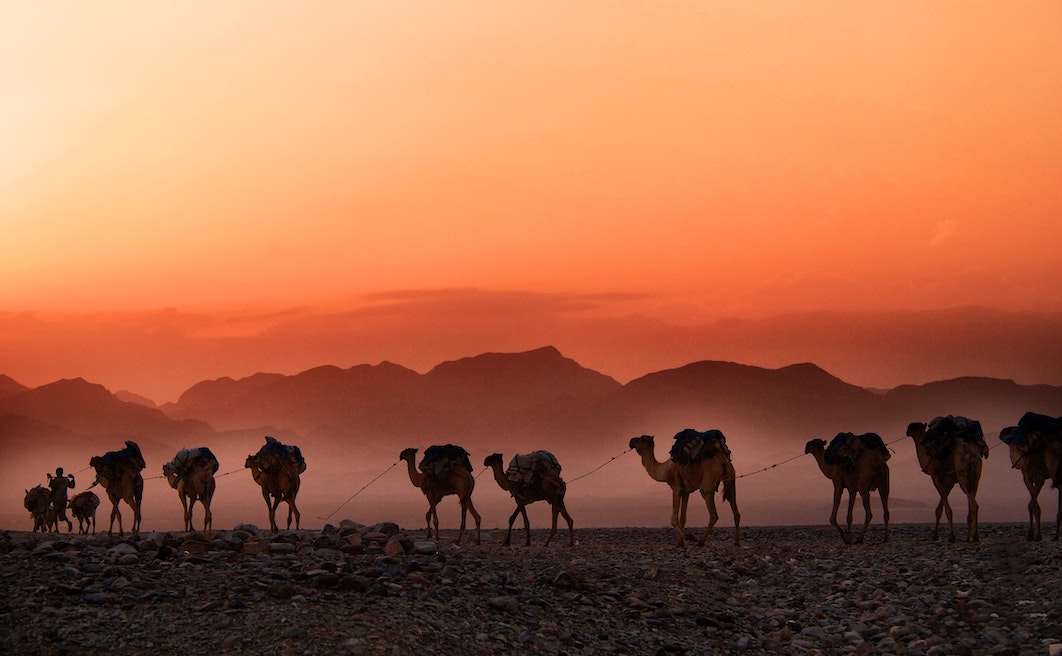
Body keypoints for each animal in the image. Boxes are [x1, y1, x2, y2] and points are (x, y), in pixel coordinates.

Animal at [904, 413, 985, 541]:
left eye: (914, 427)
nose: (907, 430)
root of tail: (971, 453)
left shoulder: (936, 477)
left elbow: (946, 508)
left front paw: (951, 537)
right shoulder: (949, 482)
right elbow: (939, 508)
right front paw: (935, 535)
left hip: (963, 474)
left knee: (973, 503)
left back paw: (974, 537)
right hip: (975, 475)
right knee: (972, 497)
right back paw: (970, 537)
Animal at [998, 411, 1057, 539]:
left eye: (1014, 430)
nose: (1002, 431)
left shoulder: (1040, 478)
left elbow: (1035, 505)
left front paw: (1038, 535)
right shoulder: (1027, 477)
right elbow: (1031, 504)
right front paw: (1030, 534)